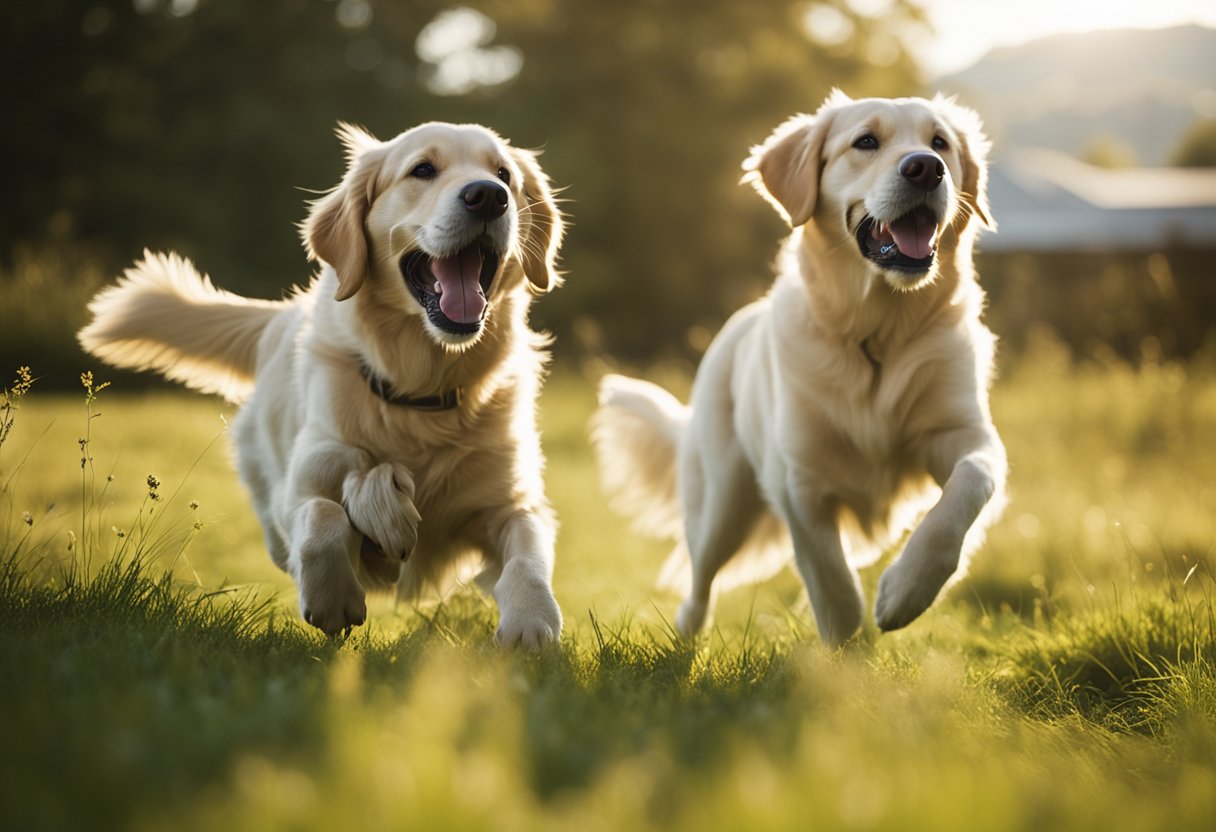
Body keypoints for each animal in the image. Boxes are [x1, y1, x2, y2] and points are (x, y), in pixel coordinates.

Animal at [80, 121, 564, 642]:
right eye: (422, 170)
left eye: (505, 174)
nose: (489, 196)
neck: (420, 389)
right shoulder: (304, 481)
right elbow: (323, 515)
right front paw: (334, 595)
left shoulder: (513, 502)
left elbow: (527, 556)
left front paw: (531, 622)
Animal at [595, 92, 1006, 651]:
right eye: (866, 141)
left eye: (939, 142)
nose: (925, 168)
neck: (876, 335)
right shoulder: (797, 479)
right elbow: (832, 581)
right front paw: (846, 644)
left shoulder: (966, 436)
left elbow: (966, 489)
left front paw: (907, 590)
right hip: (722, 503)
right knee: (698, 581)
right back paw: (685, 641)